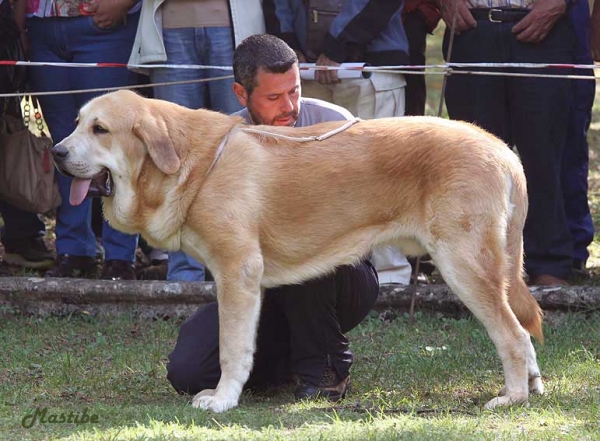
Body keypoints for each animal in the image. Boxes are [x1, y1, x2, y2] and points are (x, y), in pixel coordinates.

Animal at [54, 89, 548, 412]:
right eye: (76, 123)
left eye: (100, 129)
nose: (56, 152)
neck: (192, 163)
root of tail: (502, 150)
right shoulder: (247, 283)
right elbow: (245, 343)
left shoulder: (237, 271)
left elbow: (232, 347)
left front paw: (223, 400)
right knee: (522, 331)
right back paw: (534, 386)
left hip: (463, 266)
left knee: (512, 334)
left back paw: (512, 397)